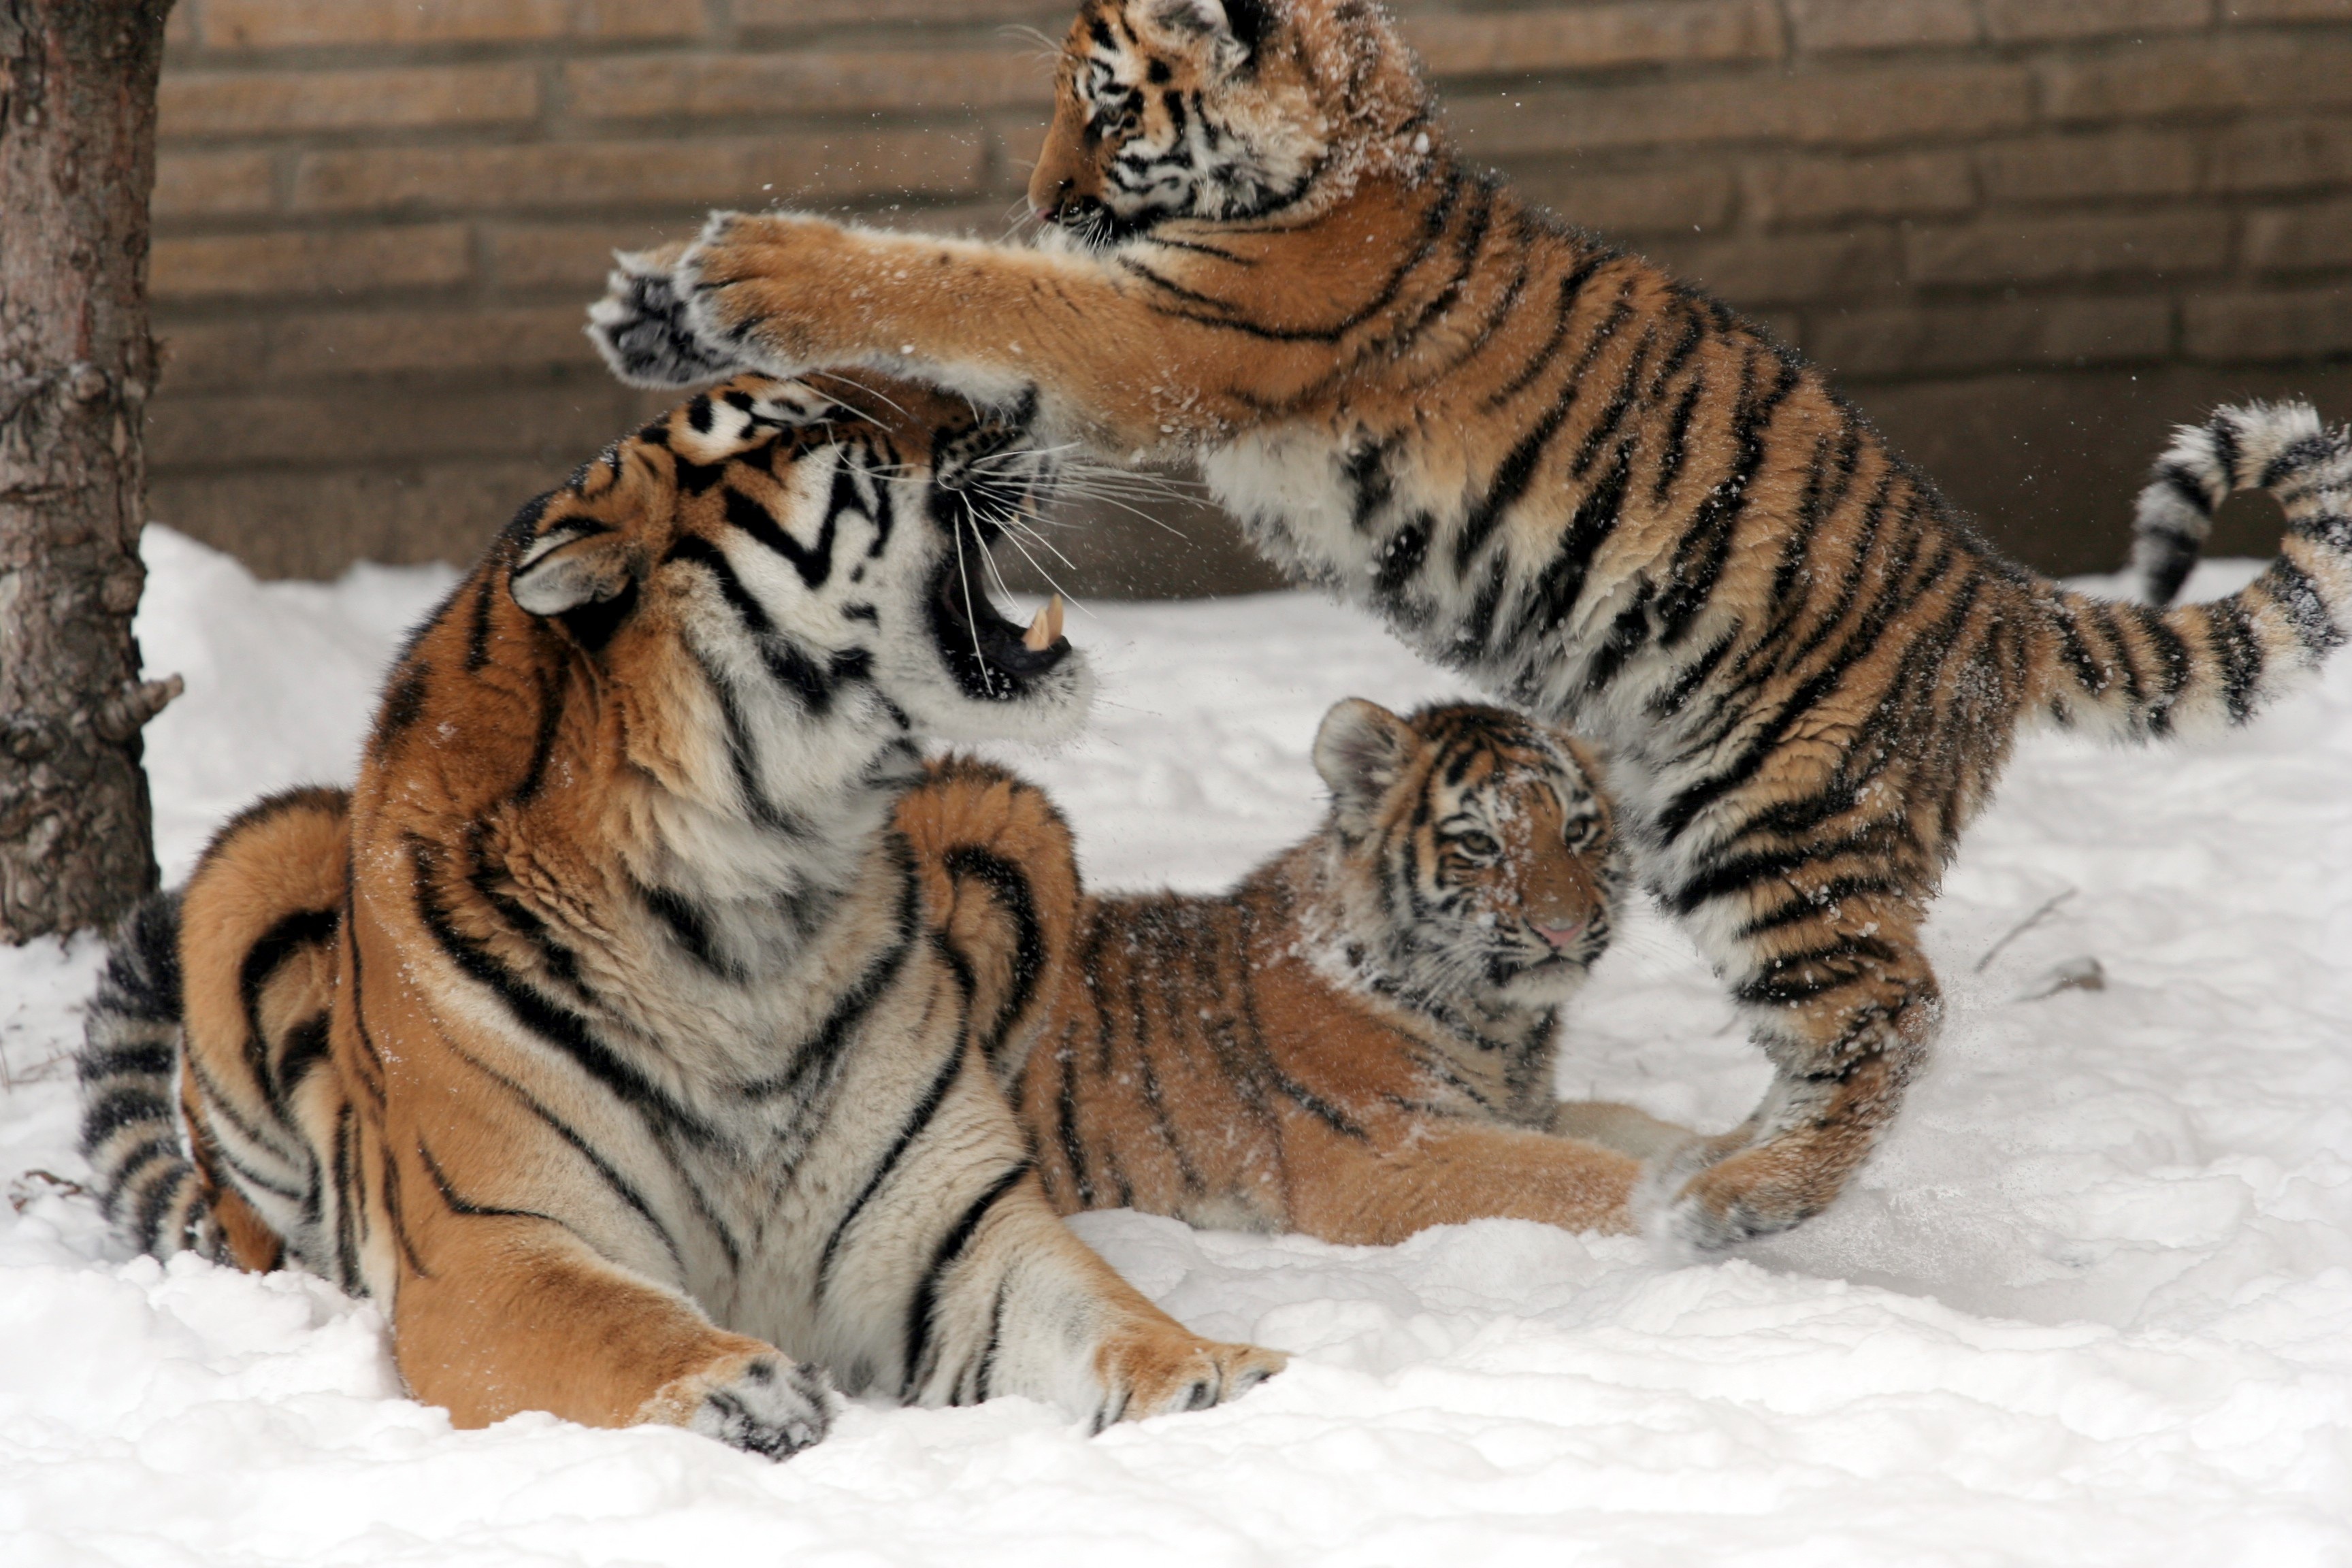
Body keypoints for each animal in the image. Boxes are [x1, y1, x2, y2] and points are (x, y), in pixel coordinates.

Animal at [74, 369, 1279, 1457]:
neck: (751, 885)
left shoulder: (957, 1229)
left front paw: (1214, 1379)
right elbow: (611, 1326)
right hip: (254, 860)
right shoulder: (490, 1243)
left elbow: (1104, 1311)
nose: (1020, 403)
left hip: (1011, 815)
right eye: (808, 425)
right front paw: (739, 1392)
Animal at [898, 705, 1693, 1241]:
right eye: (1479, 844)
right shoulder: (1390, 1154)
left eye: (1579, 832)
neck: (1503, 1027)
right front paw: (1696, 1201)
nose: (1562, 927)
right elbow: (1577, 1174)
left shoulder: (1517, 1112)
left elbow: (1627, 1128)